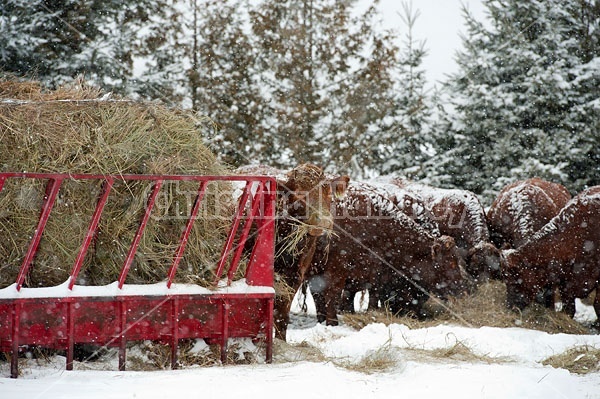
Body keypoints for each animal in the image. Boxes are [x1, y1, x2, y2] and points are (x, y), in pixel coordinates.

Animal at [236, 163, 350, 340]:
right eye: (299, 194)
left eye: (328, 193)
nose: (323, 221)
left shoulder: (295, 275)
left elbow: (282, 315)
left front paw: (281, 341)